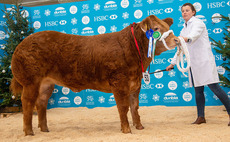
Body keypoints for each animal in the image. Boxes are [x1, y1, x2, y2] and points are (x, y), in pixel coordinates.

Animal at [10, 15, 180, 136]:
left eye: (167, 27)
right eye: (156, 28)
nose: (177, 40)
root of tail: (20, 45)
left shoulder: (135, 84)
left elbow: (135, 107)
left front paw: (139, 127)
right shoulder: (119, 83)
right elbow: (123, 107)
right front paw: (126, 130)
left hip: (46, 84)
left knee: (41, 103)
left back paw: (45, 129)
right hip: (31, 81)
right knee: (27, 103)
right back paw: (29, 132)